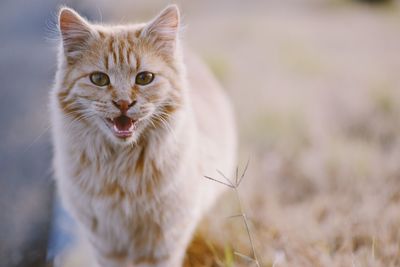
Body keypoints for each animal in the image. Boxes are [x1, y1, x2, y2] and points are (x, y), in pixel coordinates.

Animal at [50, 4, 238, 267]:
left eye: (144, 78)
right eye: (99, 79)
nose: (123, 103)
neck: (121, 166)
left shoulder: (164, 241)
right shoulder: (108, 243)